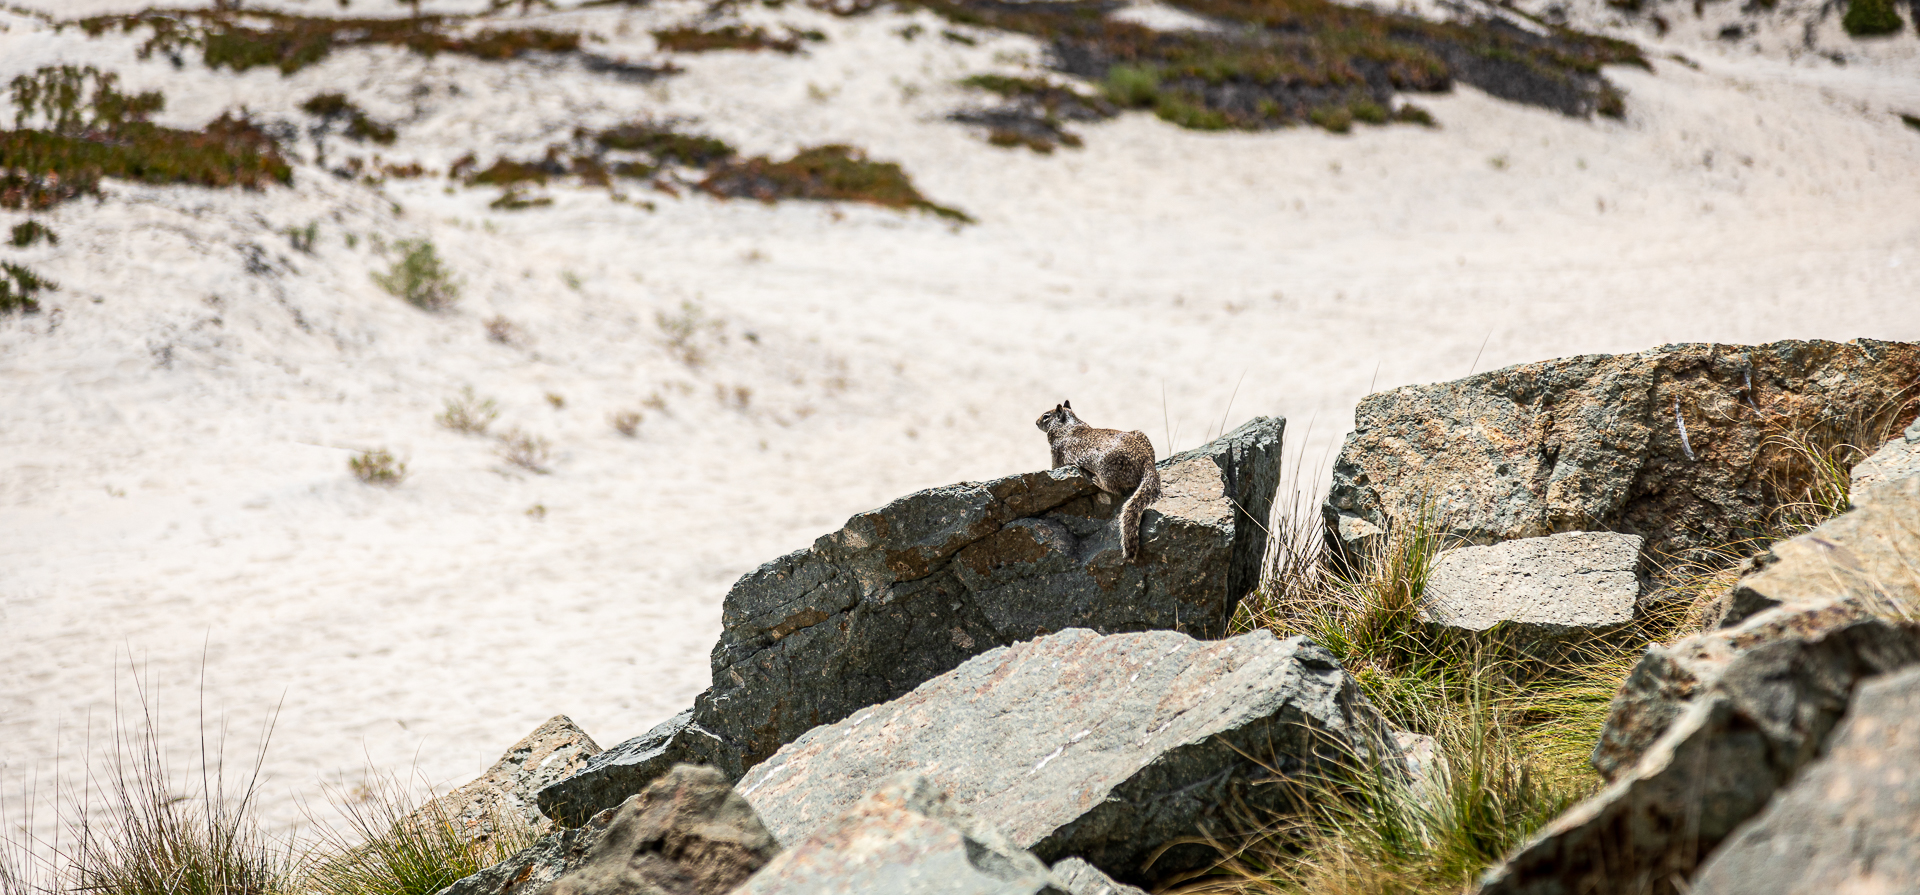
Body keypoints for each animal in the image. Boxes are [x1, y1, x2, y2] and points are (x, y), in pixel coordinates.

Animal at [1035, 400, 1162, 563]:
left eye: (1046, 416)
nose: (1036, 422)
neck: (1068, 425)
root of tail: (1147, 460)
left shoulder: (1056, 454)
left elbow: (1055, 467)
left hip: (1106, 469)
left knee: (1115, 489)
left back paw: (1097, 481)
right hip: (1139, 434)